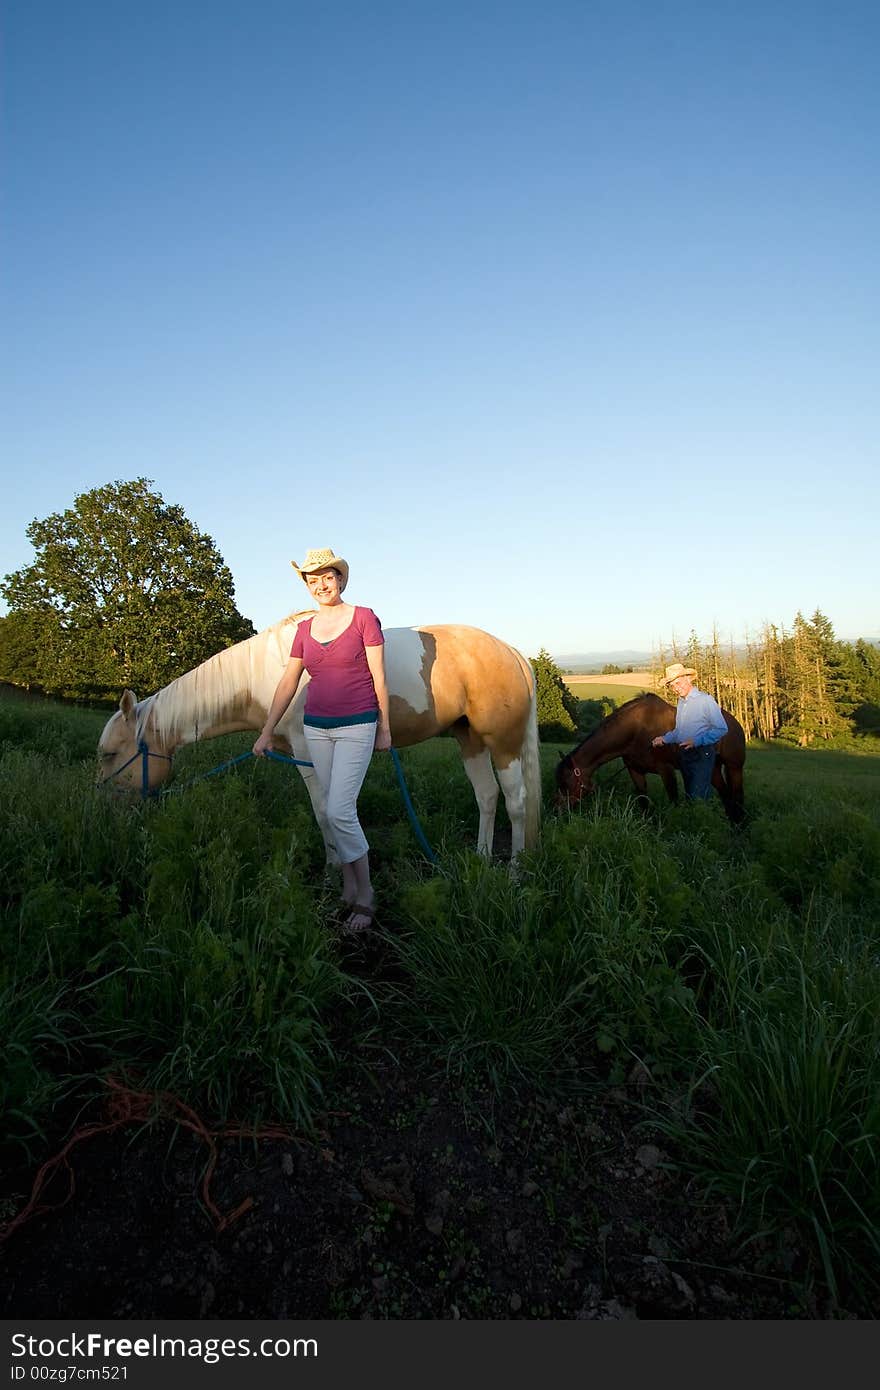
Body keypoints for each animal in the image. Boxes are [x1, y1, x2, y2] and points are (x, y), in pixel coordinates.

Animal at [94, 611, 536, 856]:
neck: (265, 674)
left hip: (503, 744)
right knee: (487, 797)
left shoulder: (308, 750)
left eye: (110, 754)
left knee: (516, 803)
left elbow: (325, 813)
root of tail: (511, 651)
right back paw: (480, 859)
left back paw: (515, 872)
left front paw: (334, 872)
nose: (106, 812)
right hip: (469, 739)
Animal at [553, 692, 745, 817]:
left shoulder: (666, 770)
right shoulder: (635, 771)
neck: (637, 732)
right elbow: (644, 801)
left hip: (734, 768)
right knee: (726, 796)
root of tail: (735, 724)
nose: (558, 811)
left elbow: (673, 801)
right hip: (713, 769)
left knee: (737, 796)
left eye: (566, 783)